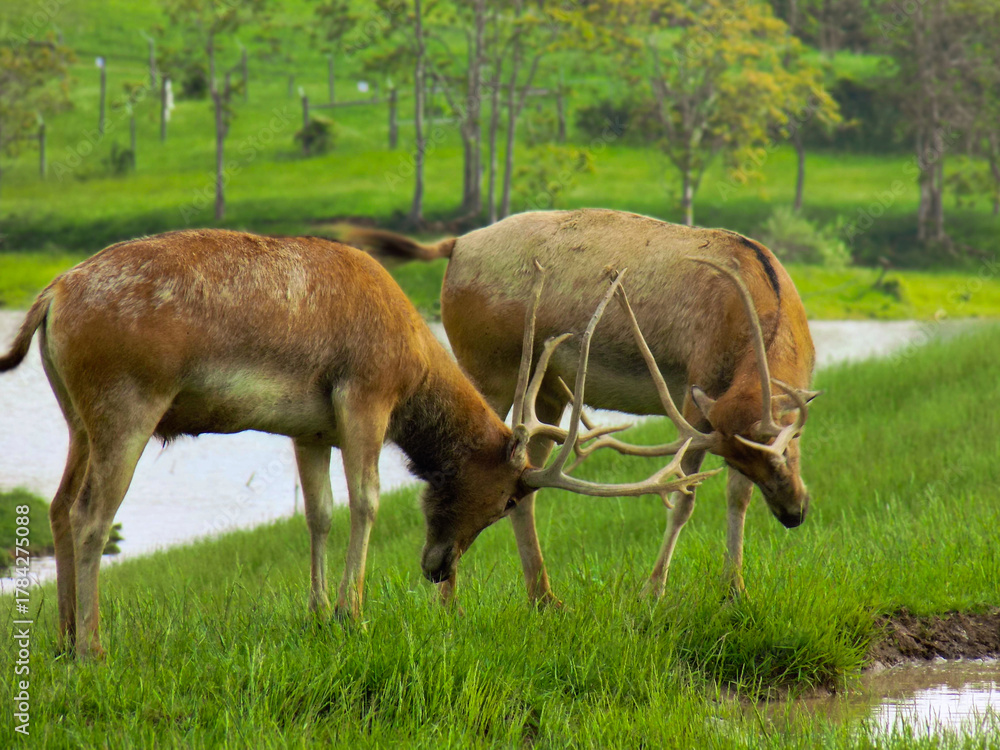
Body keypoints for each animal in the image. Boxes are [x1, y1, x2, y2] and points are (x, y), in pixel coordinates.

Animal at [0, 228, 717, 658]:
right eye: (504, 500)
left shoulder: (308, 427)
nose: (438, 568)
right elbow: (367, 501)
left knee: (59, 505)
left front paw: (318, 611)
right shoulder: (365, 393)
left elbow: (317, 512)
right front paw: (356, 613)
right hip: (127, 401)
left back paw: (62, 637)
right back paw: (92, 645)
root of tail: (49, 296)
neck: (415, 363)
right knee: (93, 514)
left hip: (77, 415)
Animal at [348, 208, 820, 606]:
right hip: (486, 366)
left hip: (547, 390)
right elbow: (683, 498)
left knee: (524, 485)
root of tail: (456, 245)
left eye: (791, 444)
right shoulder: (693, 399)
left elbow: (737, 496)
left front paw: (734, 588)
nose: (795, 512)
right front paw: (653, 590)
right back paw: (449, 603)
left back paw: (543, 598)